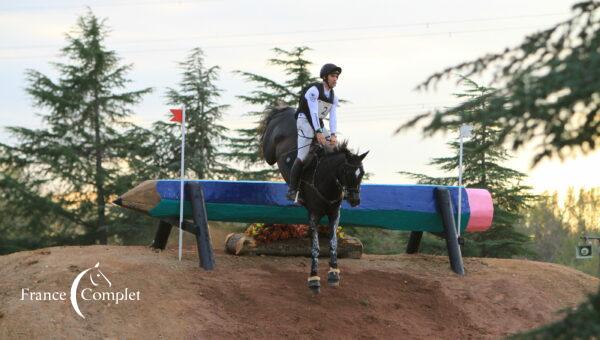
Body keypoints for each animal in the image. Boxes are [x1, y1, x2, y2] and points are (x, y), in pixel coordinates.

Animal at [260, 105, 368, 292]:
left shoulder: (334, 214)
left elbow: (333, 243)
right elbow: (316, 247)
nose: (355, 201)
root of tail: (286, 110)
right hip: (270, 151)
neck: (326, 181)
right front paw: (314, 279)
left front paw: (334, 273)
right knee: (268, 152)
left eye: (361, 173)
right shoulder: (313, 215)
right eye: (347, 172)